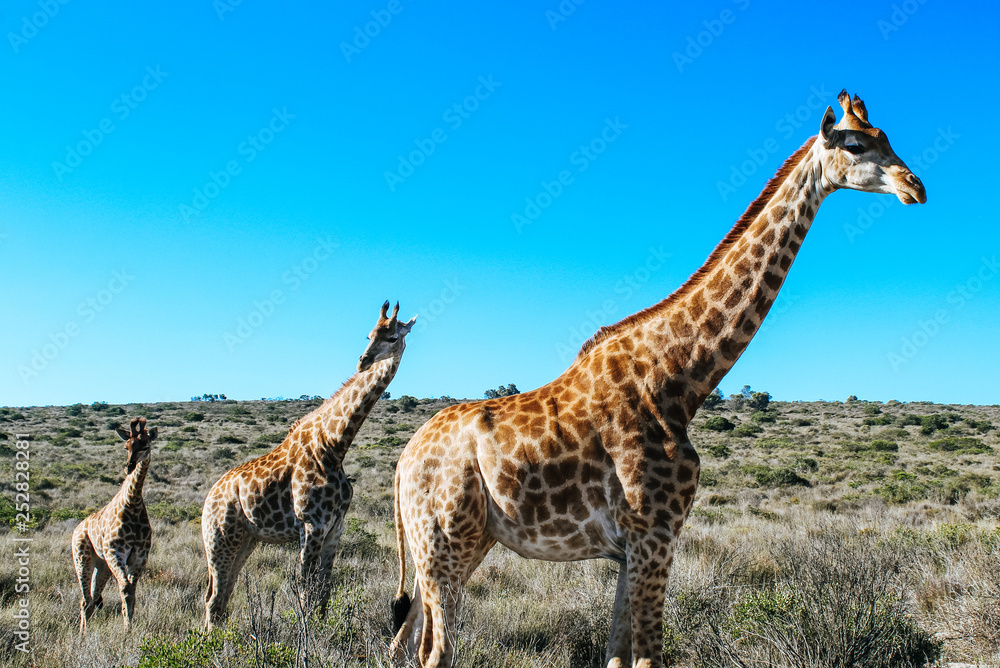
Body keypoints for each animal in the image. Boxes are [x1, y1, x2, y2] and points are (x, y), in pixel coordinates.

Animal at [71, 417, 157, 634]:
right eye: (126, 446)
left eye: (145, 445)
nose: (129, 466)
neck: (133, 504)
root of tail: (76, 528)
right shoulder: (115, 553)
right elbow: (125, 588)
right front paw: (127, 630)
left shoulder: (139, 557)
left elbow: (131, 591)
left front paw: (130, 627)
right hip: (82, 558)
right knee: (84, 600)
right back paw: (82, 635)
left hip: (102, 566)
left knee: (92, 599)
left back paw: (84, 633)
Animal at [201, 301, 417, 630]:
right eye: (368, 335)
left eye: (392, 337)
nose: (363, 361)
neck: (335, 445)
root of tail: (209, 496)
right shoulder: (311, 524)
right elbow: (305, 587)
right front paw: (308, 634)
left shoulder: (335, 526)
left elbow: (324, 588)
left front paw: (323, 630)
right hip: (219, 536)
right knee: (214, 598)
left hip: (246, 539)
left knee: (222, 594)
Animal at [389, 90, 926, 668]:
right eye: (855, 144)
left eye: (886, 136)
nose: (915, 187)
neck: (680, 381)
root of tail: (401, 463)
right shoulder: (654, 535)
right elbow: (648, 657)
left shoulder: (634, 550)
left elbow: (617, 656)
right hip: (445, 542)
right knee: (434, 651)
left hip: (459, 545)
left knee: (402, 640)